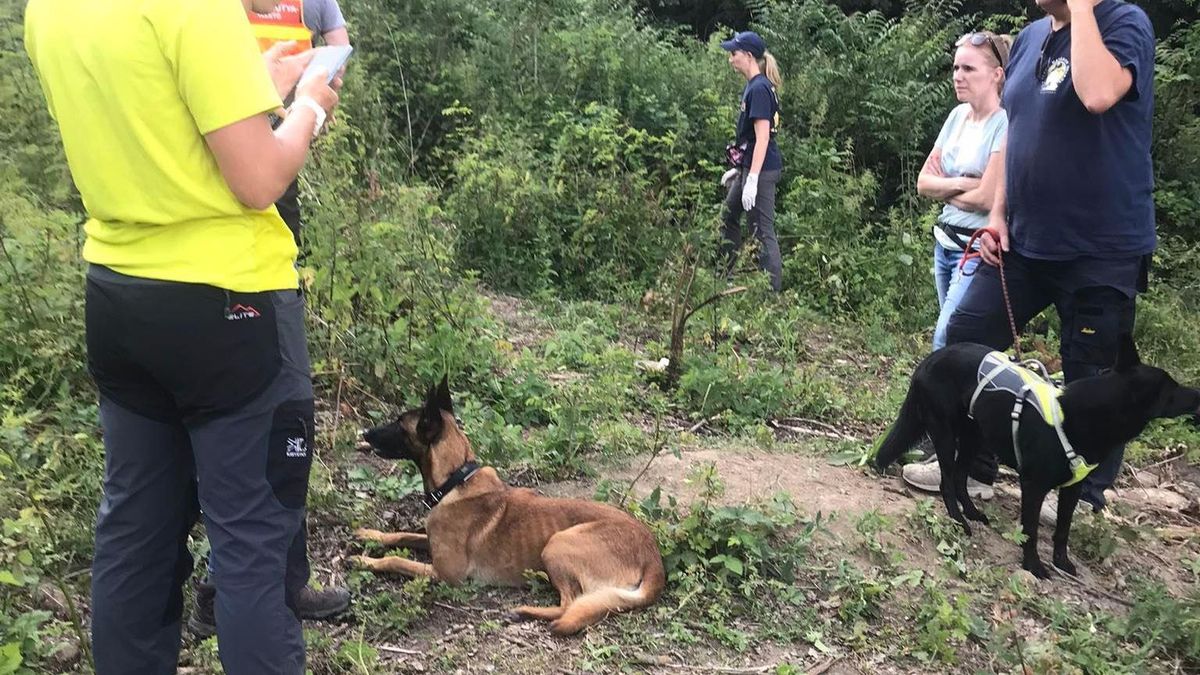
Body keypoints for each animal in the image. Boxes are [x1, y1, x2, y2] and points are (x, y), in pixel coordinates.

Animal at [350, 379, 667, 629]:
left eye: (399, 424)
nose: (364, 433)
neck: (456, 479)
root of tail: (653, 556)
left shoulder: (445, 573)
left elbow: (396, 559)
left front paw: (366, 561)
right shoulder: (430, 541)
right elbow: (401, 534)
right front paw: (369, 535)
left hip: (557, 542)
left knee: (570, 604)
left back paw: (526, 611)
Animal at [873, 333, 1200, 576]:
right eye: (1172, 390)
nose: (1197, 393)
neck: (1085, 415)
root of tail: (931, 359)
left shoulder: (1072, 488)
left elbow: (1063, 529)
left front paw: (1061, 562)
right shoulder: (1033, 486)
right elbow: (1030, 530)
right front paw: (1033, 566)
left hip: (974, 436)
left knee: (961, 478)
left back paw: (973, 512)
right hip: (944, 434)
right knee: (947, 481)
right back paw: (959, 520)